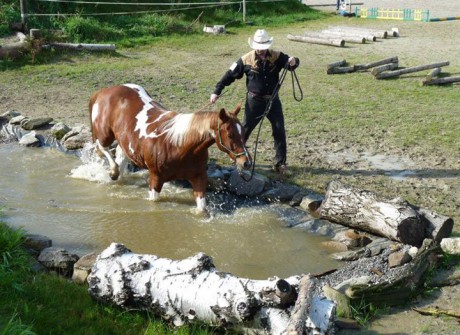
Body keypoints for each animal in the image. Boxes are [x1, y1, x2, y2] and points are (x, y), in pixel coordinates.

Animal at [89, 83, 252, 213]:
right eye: (230, 134)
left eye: (243, 132)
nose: (247, 162)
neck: (178, 145)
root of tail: (104, 91)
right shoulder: (155, 179)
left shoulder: (199, 178)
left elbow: (201, 208)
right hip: (105, 134)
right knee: (101, 147)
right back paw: (113, 171)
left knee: (120, 155)